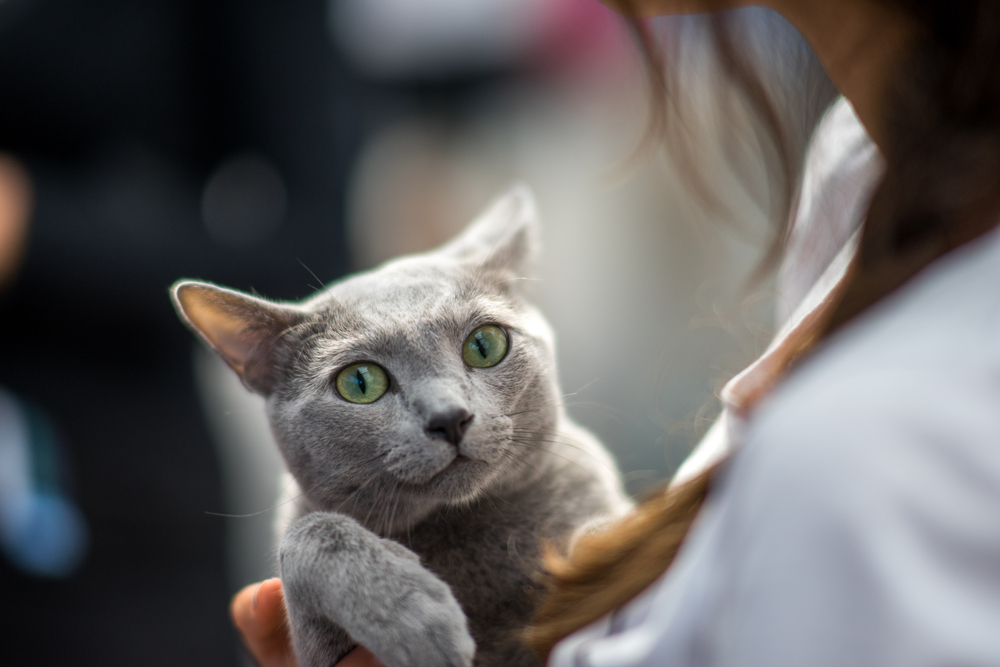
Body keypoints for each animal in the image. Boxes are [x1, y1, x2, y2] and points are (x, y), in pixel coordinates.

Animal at [169, 187, 628, 667]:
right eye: (360, 382)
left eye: (485, 345)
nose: (449, 417)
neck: (463, 525)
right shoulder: (314, 650)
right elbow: (311, 532)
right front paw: (419, 622)